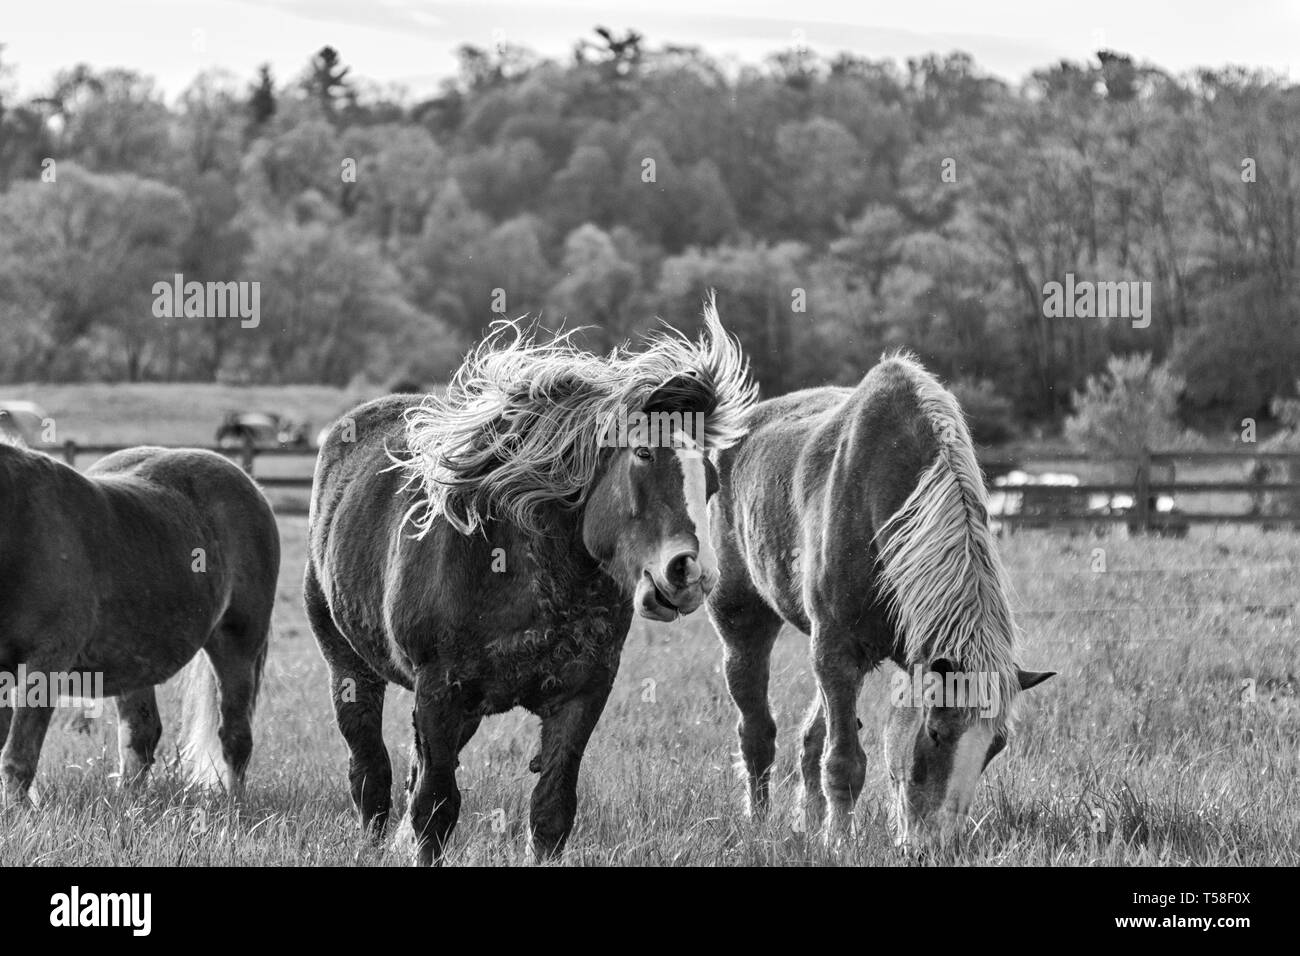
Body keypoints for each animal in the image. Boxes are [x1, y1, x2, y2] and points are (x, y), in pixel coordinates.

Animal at [0, 441, 279, 804]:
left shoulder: (47, 661)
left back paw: (234, 803)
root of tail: (251, 486)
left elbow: (18, 755)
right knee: (142, 734)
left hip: (236, 647)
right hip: (134, 658)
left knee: (235, 736)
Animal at [305, 304, 756, 865]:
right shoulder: (440, 693)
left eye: (711, 481)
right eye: (644, 455)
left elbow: (550, 812)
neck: (527, 575)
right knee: (368, 767)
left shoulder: (581, 694)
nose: (691, 573)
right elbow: (435, 809)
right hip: (348, 665)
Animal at [706, 352, 1054, 844]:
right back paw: (759, 822)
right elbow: (844, 762)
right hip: (742, 621)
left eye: (996, 746)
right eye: (937, 733)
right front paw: (838, 843)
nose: (937, 847)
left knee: (808, 738)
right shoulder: (835, 650)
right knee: (756, 732)